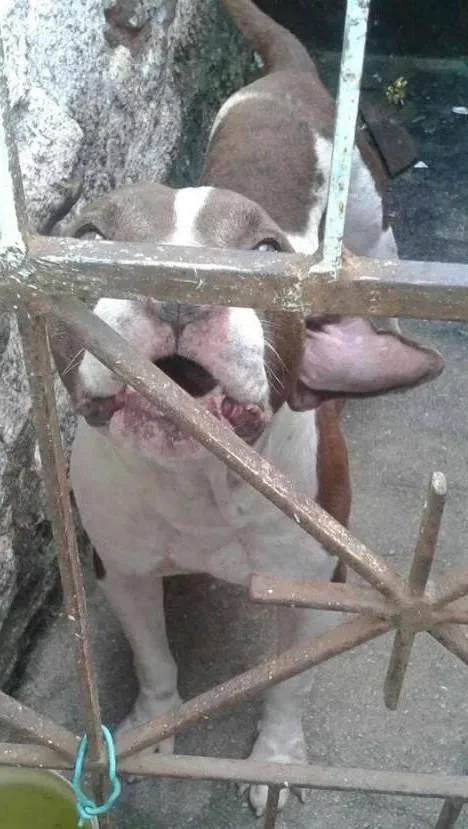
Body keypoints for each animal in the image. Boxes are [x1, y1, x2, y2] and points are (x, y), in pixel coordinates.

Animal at [49, 0, 444, 815]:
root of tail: (288, 75)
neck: (201, 480)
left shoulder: (317, 585)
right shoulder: (121, 568)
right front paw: (152, 727)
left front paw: (278, 760)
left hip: (368, 224)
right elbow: (155, 660)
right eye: (91, 236)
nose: (175, 287)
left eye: (263, 251)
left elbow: (288, 684)